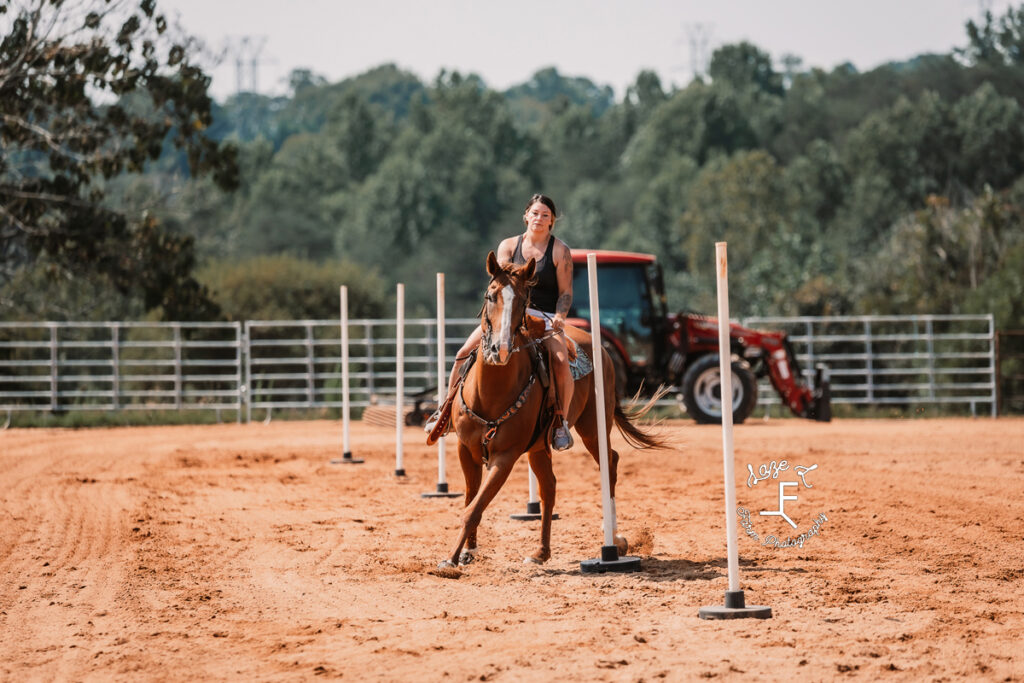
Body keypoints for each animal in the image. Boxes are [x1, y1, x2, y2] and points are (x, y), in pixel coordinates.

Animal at [438, 250, 663, 565]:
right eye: (490, 295)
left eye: (523, 301)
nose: (500, 350)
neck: (490, 393)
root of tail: (600, 348)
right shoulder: (465, 449)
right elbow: (472, 499)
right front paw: (467, 551)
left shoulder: (505, 457)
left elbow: (474, 507)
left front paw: (450, 560)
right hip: (539, 448)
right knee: (549, 486)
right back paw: (541, 552)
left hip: (593, 427)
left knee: (610, 463)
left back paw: (614, 541)